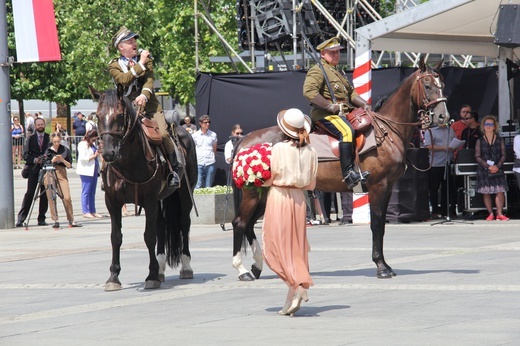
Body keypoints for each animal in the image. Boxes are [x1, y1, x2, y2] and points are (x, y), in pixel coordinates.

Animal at [89, 85, 197, 290]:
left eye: (120, 116)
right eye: (98, 116)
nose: (107, 153)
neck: (128, 162)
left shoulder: (149, 201)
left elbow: (149, 236)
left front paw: (151, 276)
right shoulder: (112, 202)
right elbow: (116, 237)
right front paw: (113, 277)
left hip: (185, 193)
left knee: (184, 223)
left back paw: (186, 266)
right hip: (161, 199)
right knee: (161, 226)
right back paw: (161, 268)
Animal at [231, 58, 446, 282]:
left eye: (442, 85)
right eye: (427, 85)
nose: (443, 116)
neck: (387, 133)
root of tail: (245, 139)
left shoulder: (387, 190)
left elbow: (382, 227)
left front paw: (385, 264)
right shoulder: (378, 187)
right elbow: (376, 224)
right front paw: (381, 266)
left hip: (264, 194)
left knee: (248, 224)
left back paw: (256, 267)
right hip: (252, 193)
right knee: (239, 223)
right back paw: (243, 270)